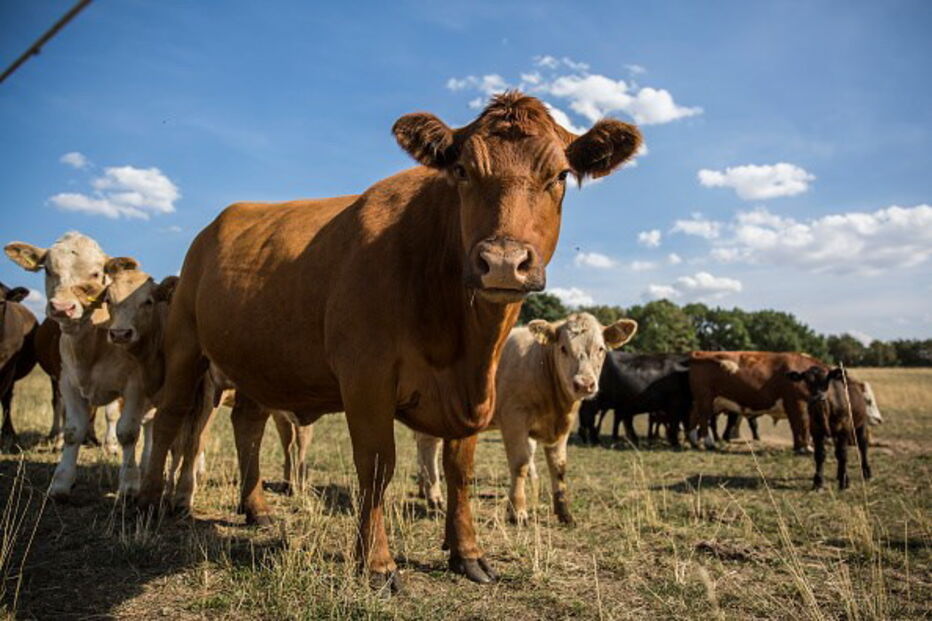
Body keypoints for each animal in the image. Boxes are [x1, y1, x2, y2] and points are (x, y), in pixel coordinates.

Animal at [4, 232, 159, 498]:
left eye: (96, 273)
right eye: (48, 270)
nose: (62, 308)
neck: (92, 343)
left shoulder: (134, 386)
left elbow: (127, 430)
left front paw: (129, 482)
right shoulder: (67, 382)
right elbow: (73, 430)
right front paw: (61, 482)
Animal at [416, 314, 637, 526]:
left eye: (601, 349)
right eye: (563, 348)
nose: (584, 384)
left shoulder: (562, 428)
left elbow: (558, 467)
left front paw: (565, 514)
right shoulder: (515, 419)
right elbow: (520, 464)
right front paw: (518, 512)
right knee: (428, 448)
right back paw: (434, 500)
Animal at [688, 351, 826, 453]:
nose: (821, 396)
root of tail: (701, 353)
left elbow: (797, 425)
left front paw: (800, 447)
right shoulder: (798, 402)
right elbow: (803, 423)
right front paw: (807, 448)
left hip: (707, 400)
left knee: (695, 416)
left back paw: (694, 441)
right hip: (705, 397)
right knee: (703, 418)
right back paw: (708, 443)